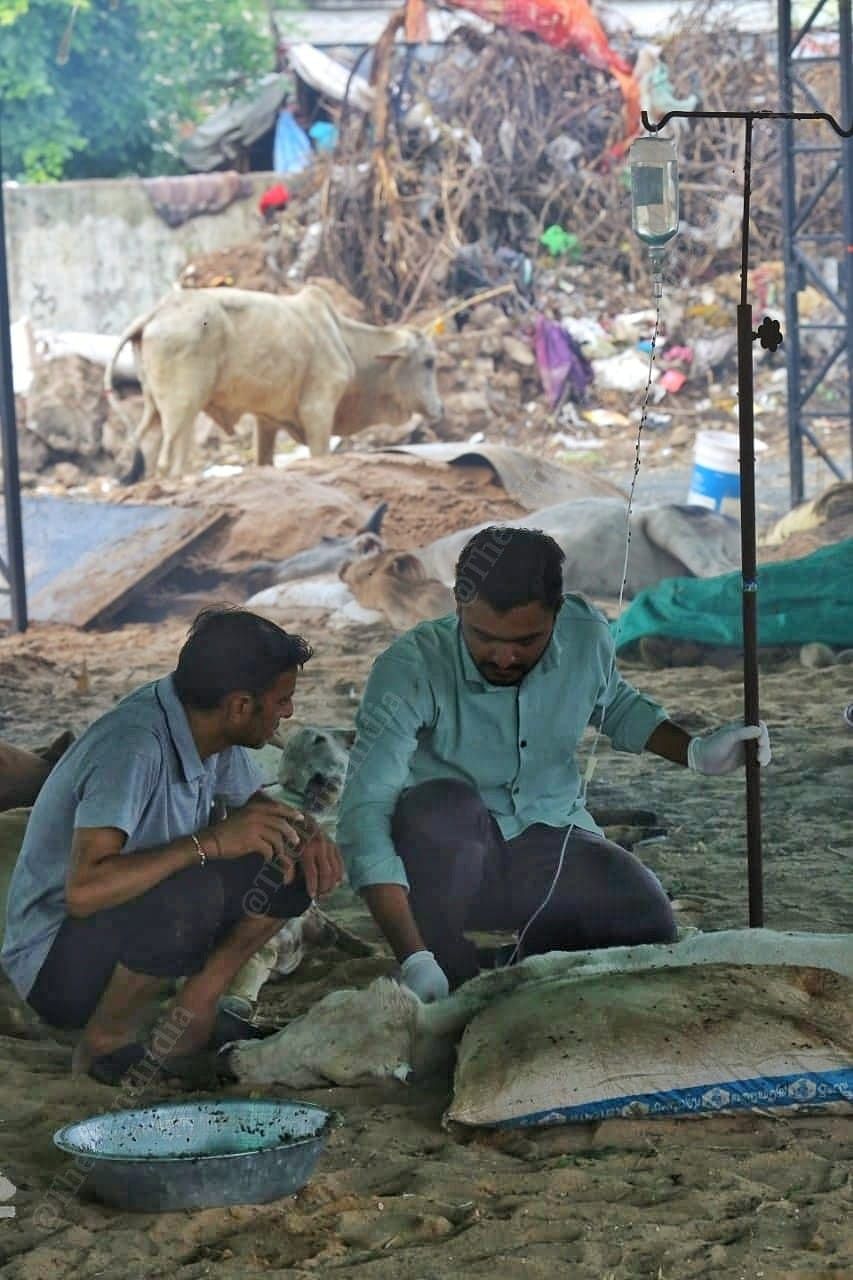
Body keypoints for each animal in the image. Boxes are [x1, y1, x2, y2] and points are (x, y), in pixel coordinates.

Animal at [104, 285, 445, 481]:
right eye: (429, 362)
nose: (440, 409)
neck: (344, 341)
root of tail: (155, 313)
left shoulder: (266, 419)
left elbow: (264, 460)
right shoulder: (318, 410)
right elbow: (320, 455)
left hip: (156, 405)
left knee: (149, 442)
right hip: (183, 404)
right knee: (168, 459)